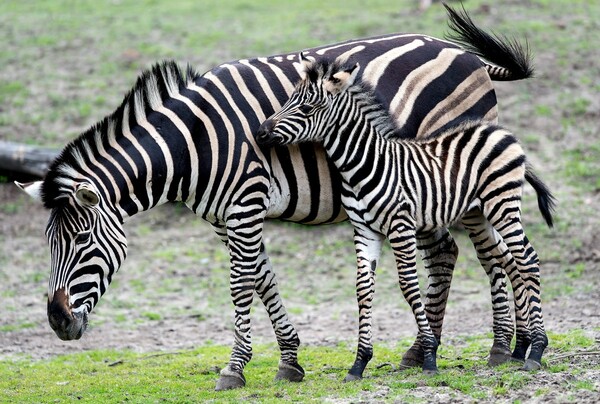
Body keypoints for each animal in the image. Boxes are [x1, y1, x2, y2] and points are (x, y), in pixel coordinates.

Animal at [253, 54, 552, 376]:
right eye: (288, 100)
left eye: (306, 108)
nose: (260, 132)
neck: (364, 165)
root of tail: (502, 132)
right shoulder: (364, 229)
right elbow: (363, 289)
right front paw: (359, 362)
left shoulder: (400, 225)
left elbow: (409, 285)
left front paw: (429, 355)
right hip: (481, 210)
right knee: (512, 261)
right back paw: (521, 348)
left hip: (502, 203)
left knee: (527, 259)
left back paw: (536, 349)